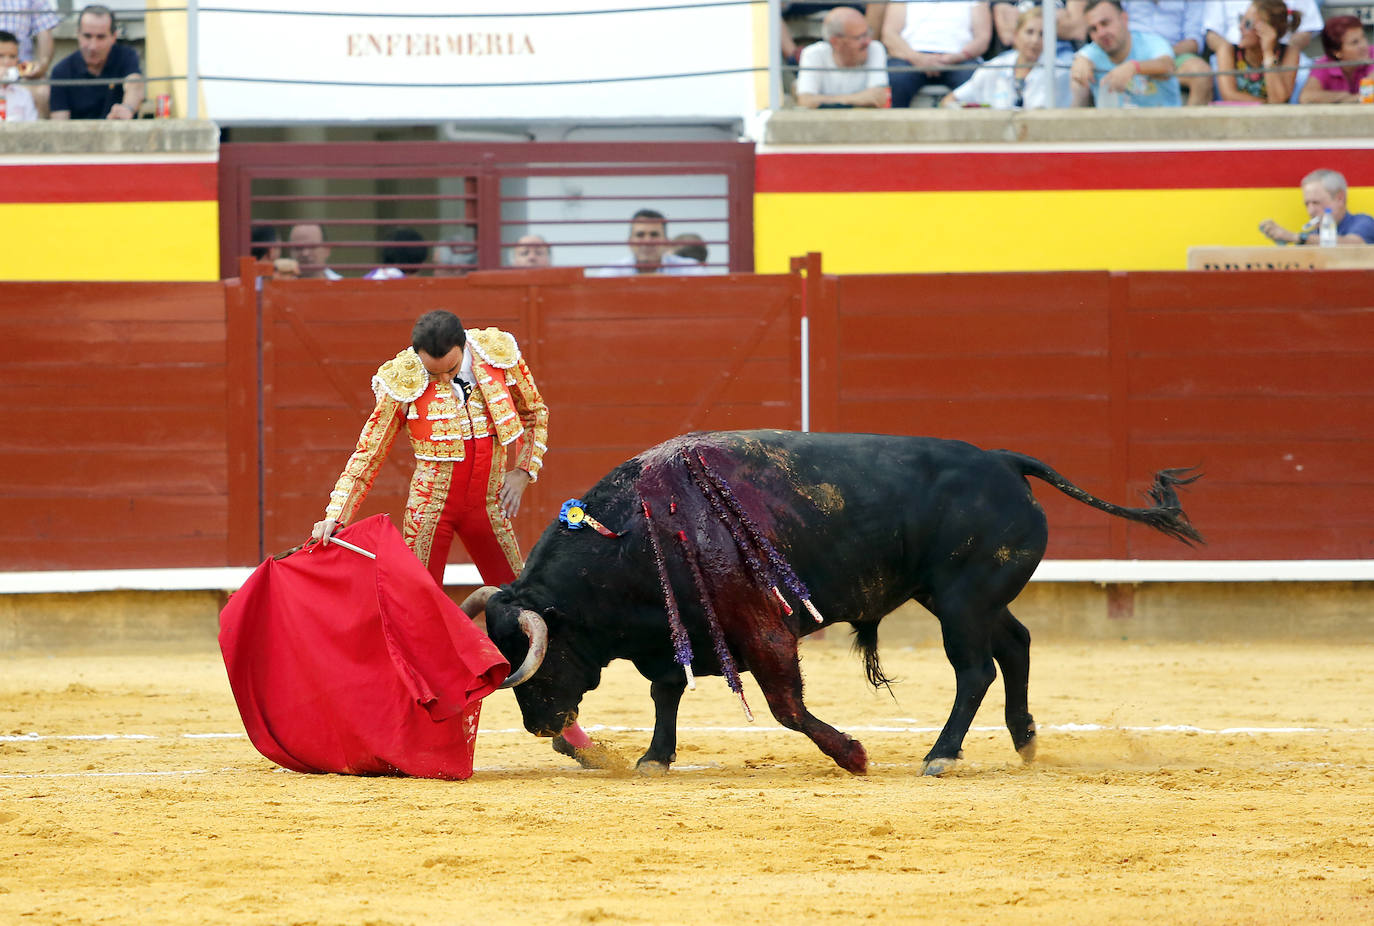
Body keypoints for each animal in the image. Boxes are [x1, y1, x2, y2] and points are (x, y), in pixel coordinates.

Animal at [467, 428, 1198, 774]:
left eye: (535, 662)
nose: (542, 728)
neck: (637, 531)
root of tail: (1002, 460)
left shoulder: (763, 628)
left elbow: (785, 706)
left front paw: (852, 755)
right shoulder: (674, 632)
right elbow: (665, 692)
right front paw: (655, 757)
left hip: (963, 602)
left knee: (975, 670)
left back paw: (940, 755)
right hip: (965, 597)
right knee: (1015, 646)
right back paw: (1024, 742)